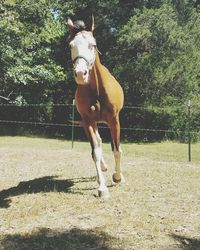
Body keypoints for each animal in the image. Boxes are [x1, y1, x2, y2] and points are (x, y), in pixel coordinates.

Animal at [66, 16, 124, 199]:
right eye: (71, 45)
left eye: (93, 44)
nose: (80, 74)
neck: (97, 90)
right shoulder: (89, 121)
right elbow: (95, 152)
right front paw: (102, 188)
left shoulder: (114, 120)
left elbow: (117, 150)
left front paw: (117, 177)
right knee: (98, 142)